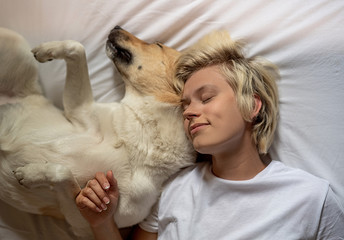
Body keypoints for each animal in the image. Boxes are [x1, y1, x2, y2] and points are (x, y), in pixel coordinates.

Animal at [0, 26, 195, 238]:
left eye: (158, 45)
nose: (116, 27)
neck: (141, 140)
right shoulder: (79, 112)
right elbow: (77, 48)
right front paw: (47, 50)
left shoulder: (81, 222)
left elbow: (64, 173)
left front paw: (30, 174)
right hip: (13, 39)